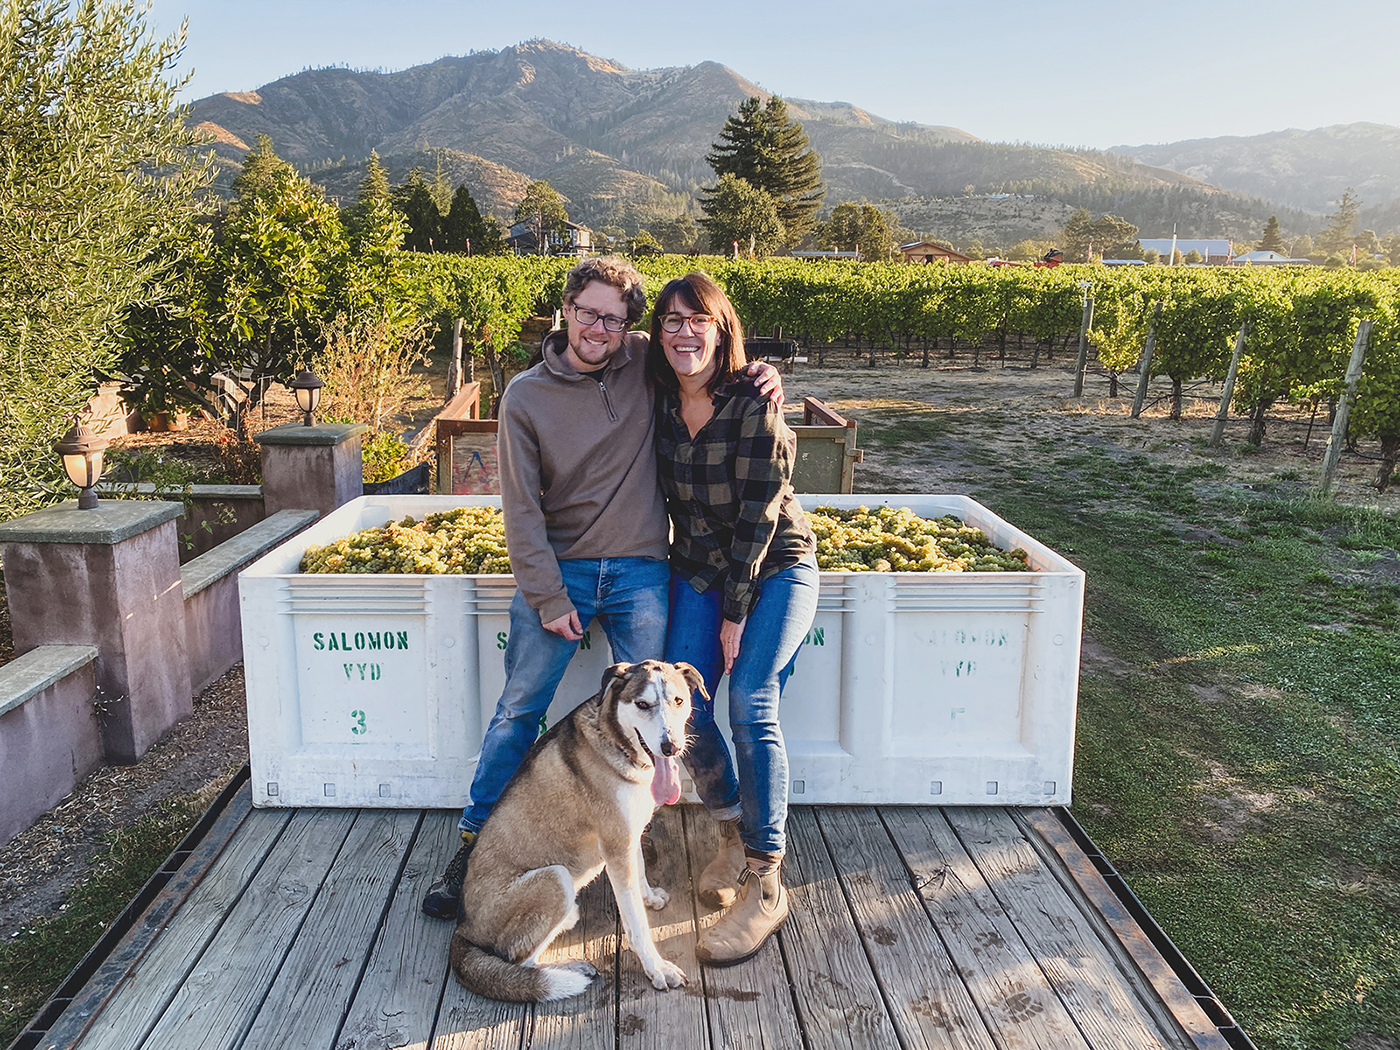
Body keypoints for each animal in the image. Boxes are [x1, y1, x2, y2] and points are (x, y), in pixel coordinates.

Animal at [448, 658, 700, 1002]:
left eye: (678, 700)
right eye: (642, 704)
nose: (671, 747)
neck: (615, 741)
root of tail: (463, 930)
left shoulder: (629, 835)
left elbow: (640, 872)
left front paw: (648, 896)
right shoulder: (616, 846)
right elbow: (636, 922)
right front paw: (657, 968)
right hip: (555, 879)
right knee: (519, 961)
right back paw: (567, 971)